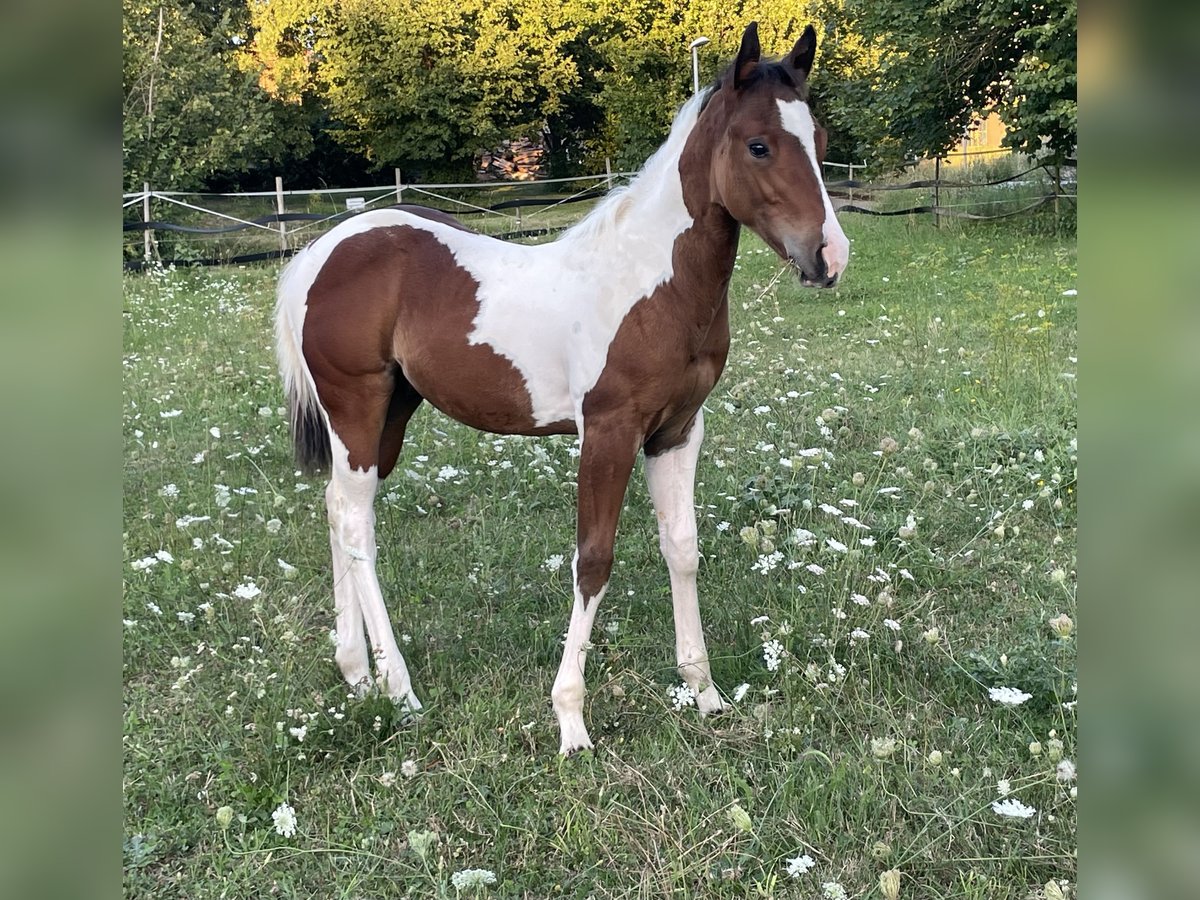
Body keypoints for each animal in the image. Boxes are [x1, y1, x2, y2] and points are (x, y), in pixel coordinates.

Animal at [274, 21, 849, 755]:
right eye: (759, 145)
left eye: (820, 141)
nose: (829, 257)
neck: (649, 282)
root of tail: (320, 253)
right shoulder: (608, 430)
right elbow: (593, 560)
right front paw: (571, 719)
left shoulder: (677, 431)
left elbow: (682, 549)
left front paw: (704, 693)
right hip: (357, 406)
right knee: (355, 527)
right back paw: (398, 690)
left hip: (389, 416)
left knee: (337, 508)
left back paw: (355, 672)